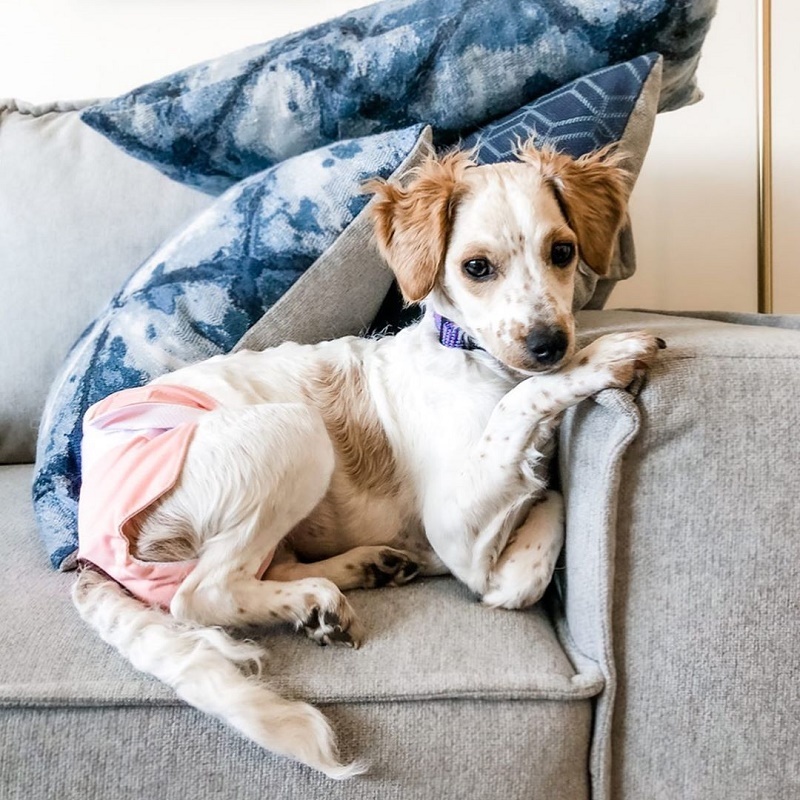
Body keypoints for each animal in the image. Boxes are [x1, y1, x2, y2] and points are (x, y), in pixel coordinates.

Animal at [73, 141, 664, 780]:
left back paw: (363, 570)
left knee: (263, 568)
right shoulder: (456, 531)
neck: (476, 360)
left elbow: (540, 510)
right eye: (477, 267)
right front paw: (602, 355)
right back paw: (320, 602)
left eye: (562, 251)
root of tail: (85, 545)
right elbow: (527, 461)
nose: (550, 345)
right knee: (201, 594)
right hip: (296, 431)